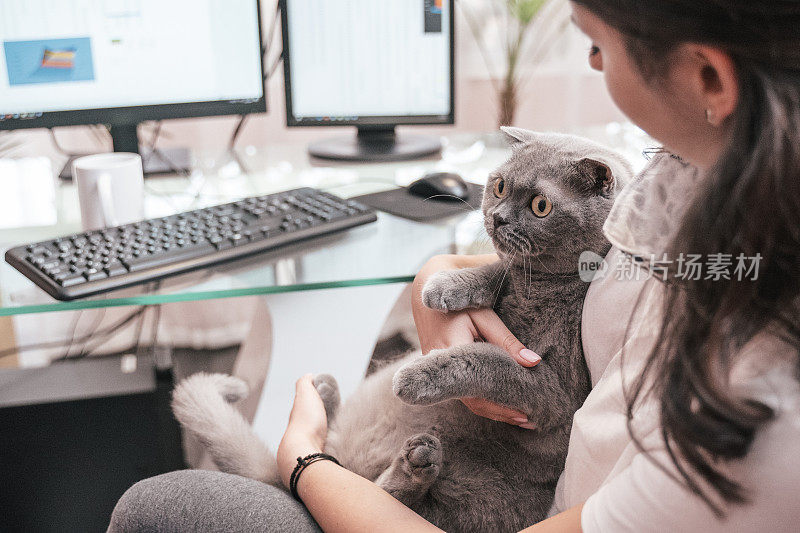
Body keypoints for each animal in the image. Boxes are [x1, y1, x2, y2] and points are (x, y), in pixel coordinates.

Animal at [173, 129, 632, 532]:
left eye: (540, 206)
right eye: (500, 186)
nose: (498, 217)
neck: (538, 287)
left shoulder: (555, 392)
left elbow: (486, 359)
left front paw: (419, 376)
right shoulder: (508, 276)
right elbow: (494, 269)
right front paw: (443, 287)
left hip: (485, 496)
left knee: (389, 501)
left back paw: (416, 462)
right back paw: (328, 395)